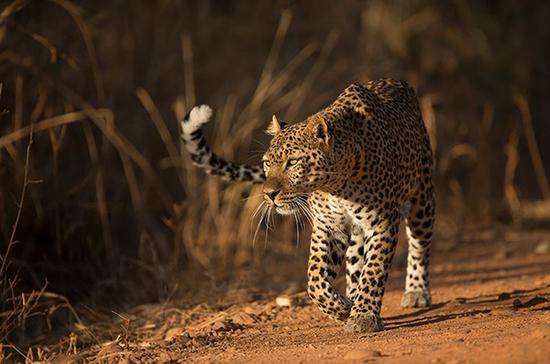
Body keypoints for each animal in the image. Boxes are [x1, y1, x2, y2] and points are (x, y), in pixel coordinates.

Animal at [180, 79, 436, 332]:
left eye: (292, 162)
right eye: (267, 163)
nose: (269, 194)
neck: (337, 187)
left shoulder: (382, 223)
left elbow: (374, 271)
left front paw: (363, 316)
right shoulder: (328, 227)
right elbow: (315, 279)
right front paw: (342, 308)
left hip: (422, 201)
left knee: (419, 246)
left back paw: (415, 292)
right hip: (357, 232)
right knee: (355, 262)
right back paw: (352, 296)